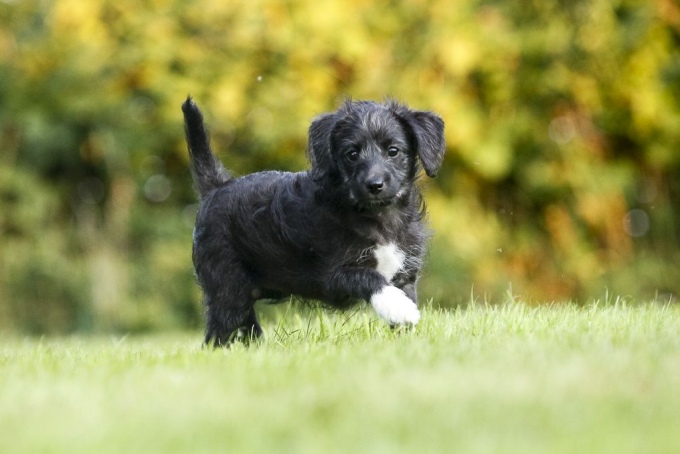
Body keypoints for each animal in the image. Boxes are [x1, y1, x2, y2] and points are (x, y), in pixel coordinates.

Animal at [182, 96, 446, 344]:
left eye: (393, 151)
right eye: (352, 154)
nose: (374, 185)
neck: (377, 214)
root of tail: (216, 188)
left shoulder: (405, 272)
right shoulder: (333, 276)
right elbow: (370, 277)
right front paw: (399, 307)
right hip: (228, 289)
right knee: (219, 333)